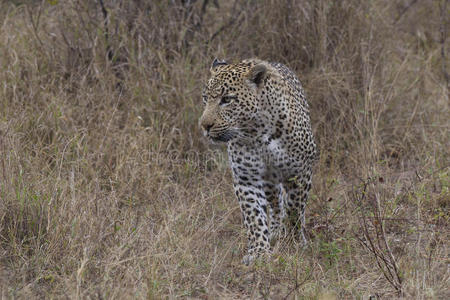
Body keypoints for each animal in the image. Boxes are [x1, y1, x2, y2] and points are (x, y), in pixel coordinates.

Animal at [199, 57, 318, 264]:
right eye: (206, 98)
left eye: (227, 100)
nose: (205, 125)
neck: (258, 132)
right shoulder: (247, 179)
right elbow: (254, 217)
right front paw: (259, 252)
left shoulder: (299, 172)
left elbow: (295, 208)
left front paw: (294, 242)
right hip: (269, 183)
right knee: (276, 205)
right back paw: (276, 231)